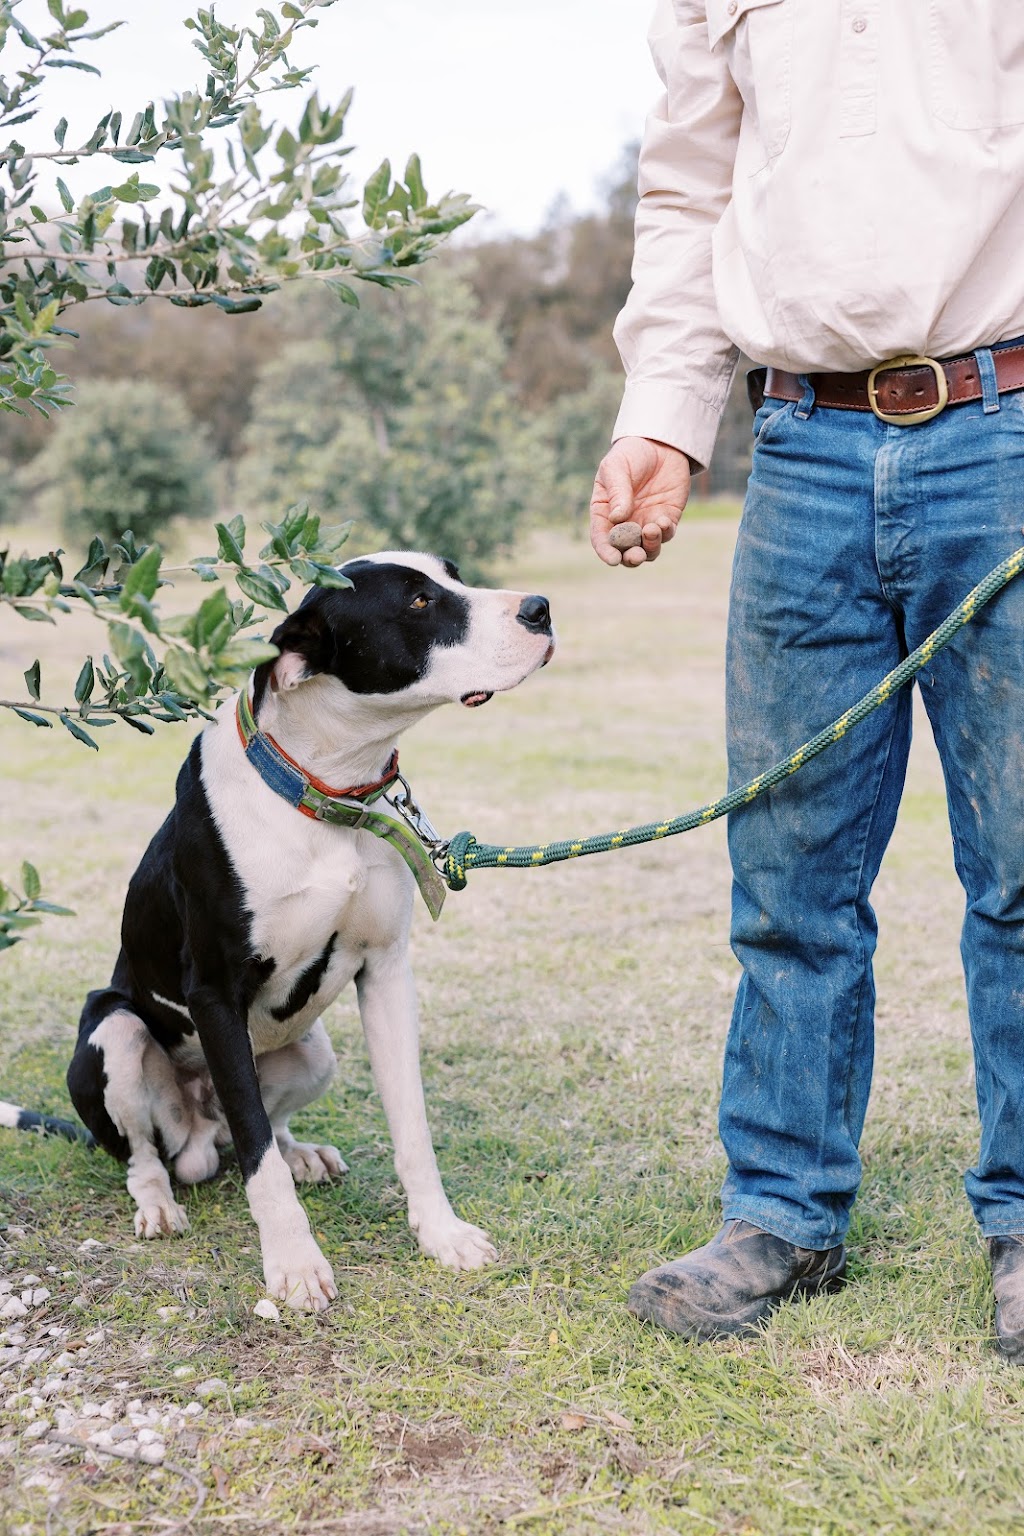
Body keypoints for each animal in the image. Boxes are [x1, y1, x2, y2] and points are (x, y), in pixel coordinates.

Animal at [61, 552, 555, 1308]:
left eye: (452, 574)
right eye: (418, 602)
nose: (541, 609)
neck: (326, 790)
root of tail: (198, 1125)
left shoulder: (387, 972)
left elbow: (410, 1127)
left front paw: (441, 1234)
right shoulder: (213, 994)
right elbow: (255, 1153)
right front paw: (293, 1264)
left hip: (315, 1052)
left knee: (260, 1124)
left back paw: (302, 1153)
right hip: (114, 1029)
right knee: (160, 1151)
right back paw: (159, 1203)